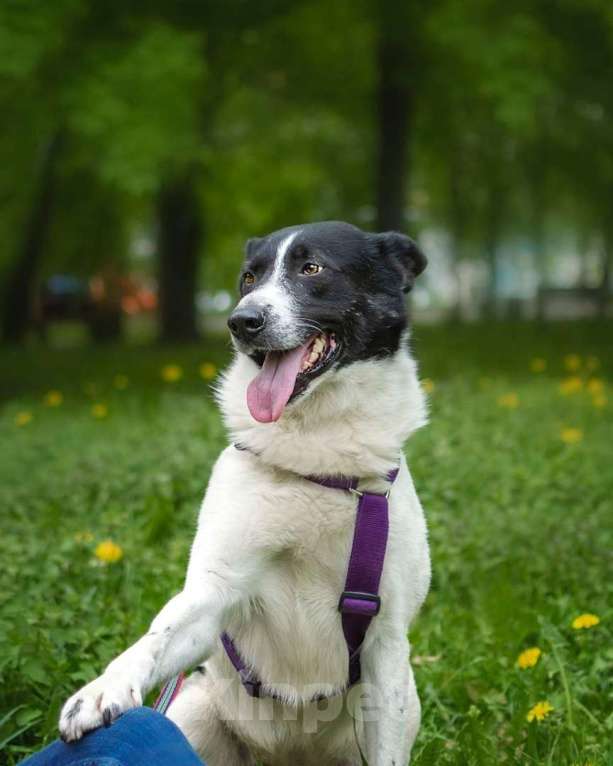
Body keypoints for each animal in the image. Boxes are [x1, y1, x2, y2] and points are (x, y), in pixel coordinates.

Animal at [58, 219, 430, 764]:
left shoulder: (386, 646)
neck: (314, 458)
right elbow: (157, 635)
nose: (241, 322)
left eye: (312, 267)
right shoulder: (215, 593)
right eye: (248, 278)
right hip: (194, 711)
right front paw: (102, 688)